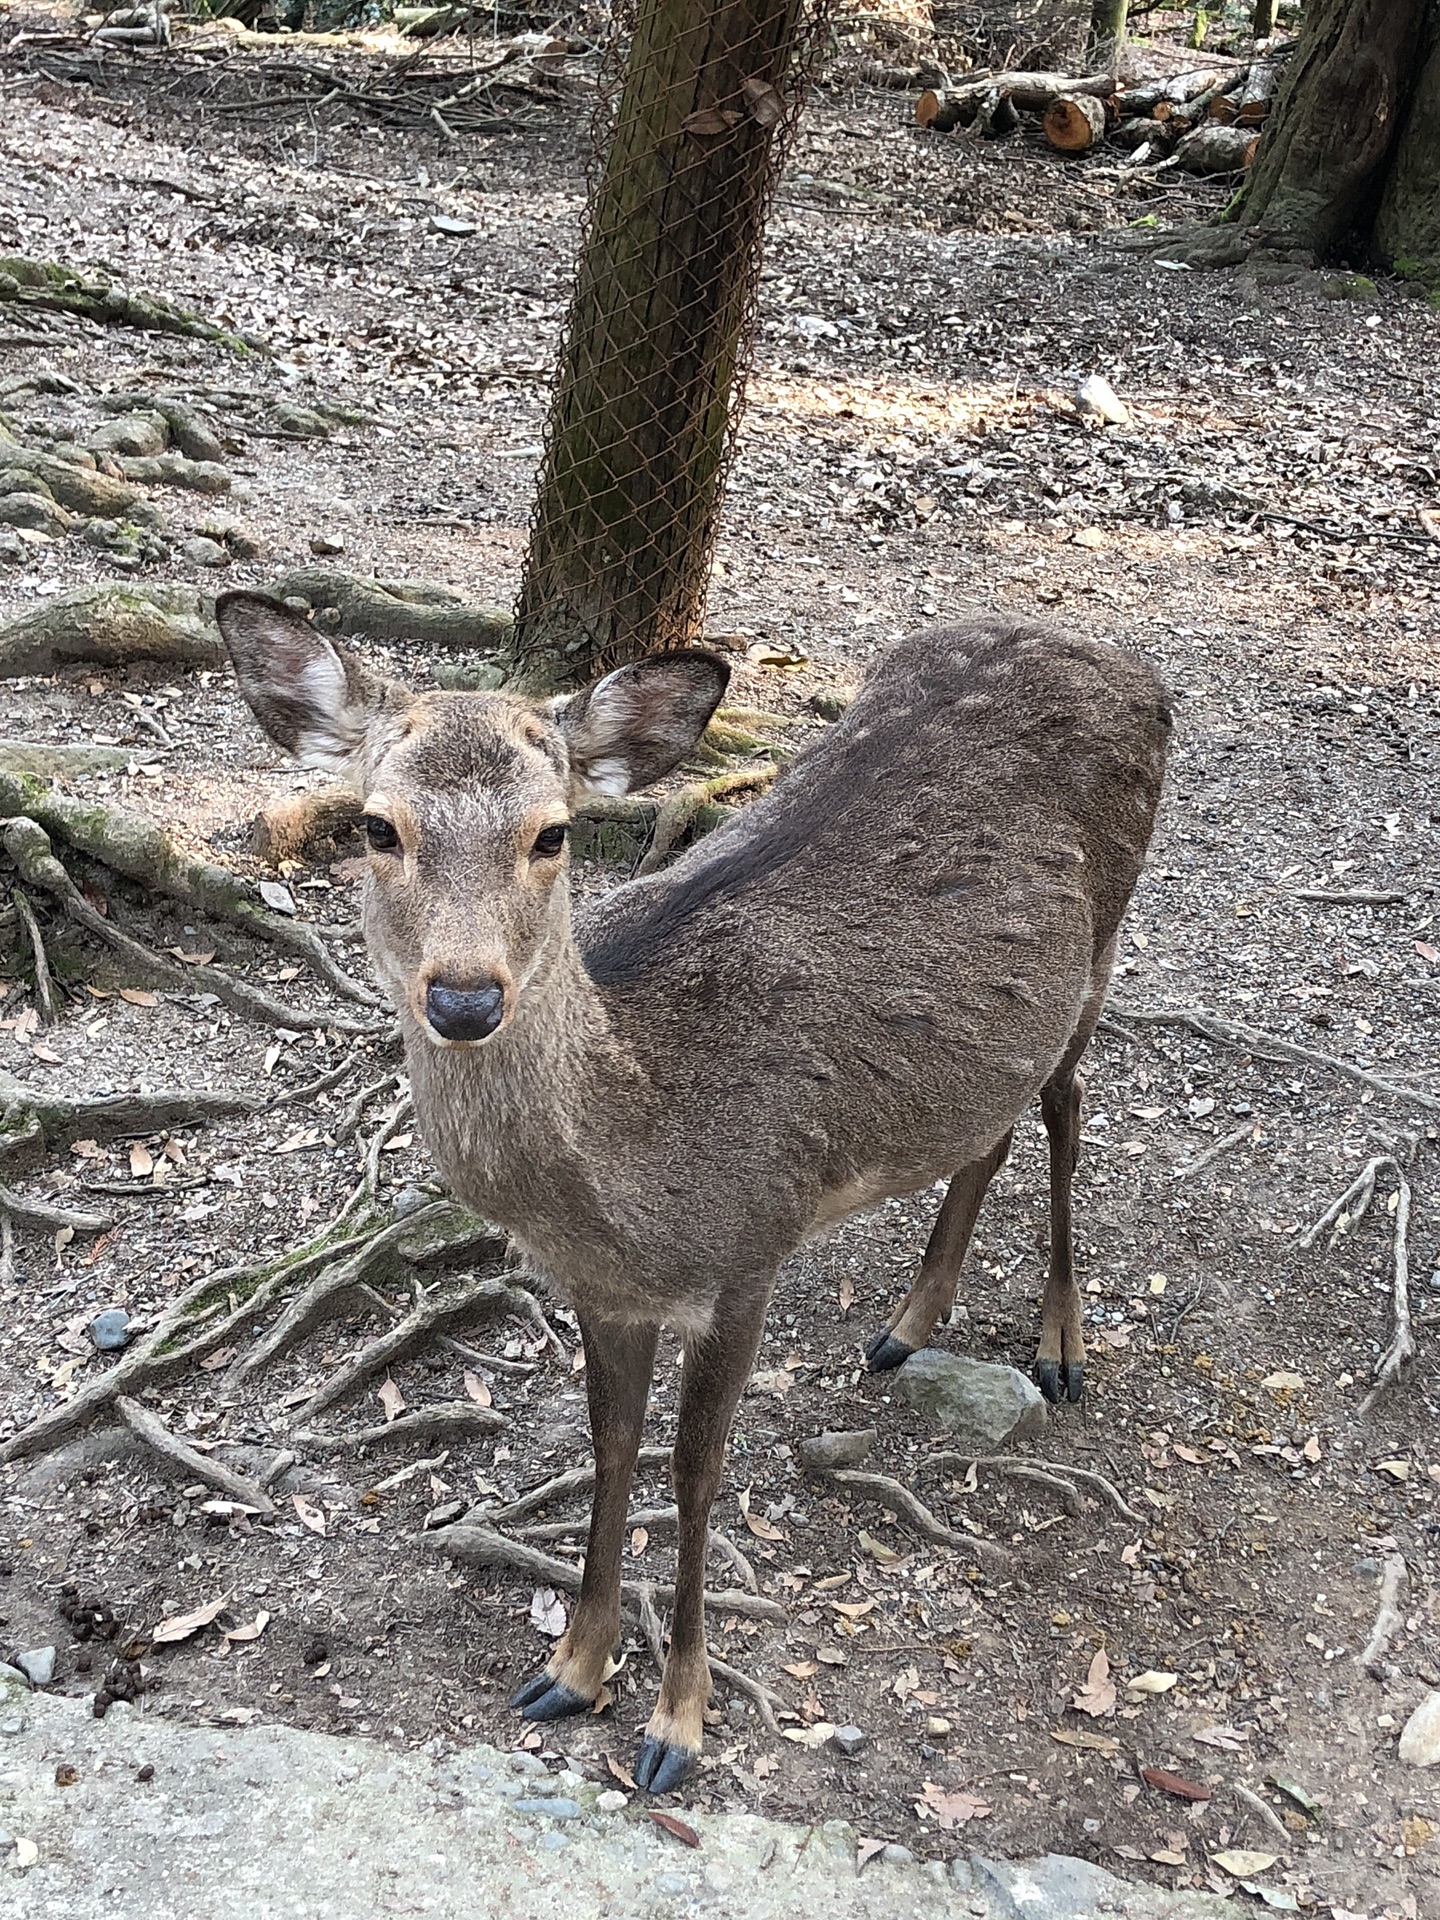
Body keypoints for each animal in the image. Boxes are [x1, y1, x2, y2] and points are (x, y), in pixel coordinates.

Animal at [219, 591, 1175, 1789]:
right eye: (377, 828)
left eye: (553, 832)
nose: (466, 998)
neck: (634, 1189)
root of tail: (1137, 670)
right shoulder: (602, 1293)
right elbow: (610, 1449)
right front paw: (570, 1674)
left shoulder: (752, 1248)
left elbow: (695, 1471)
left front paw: (676, 1723)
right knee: (990, 1129)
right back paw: (908, 1323)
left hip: (1105, 942)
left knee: (1067, 1107)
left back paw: (1059, 1346)